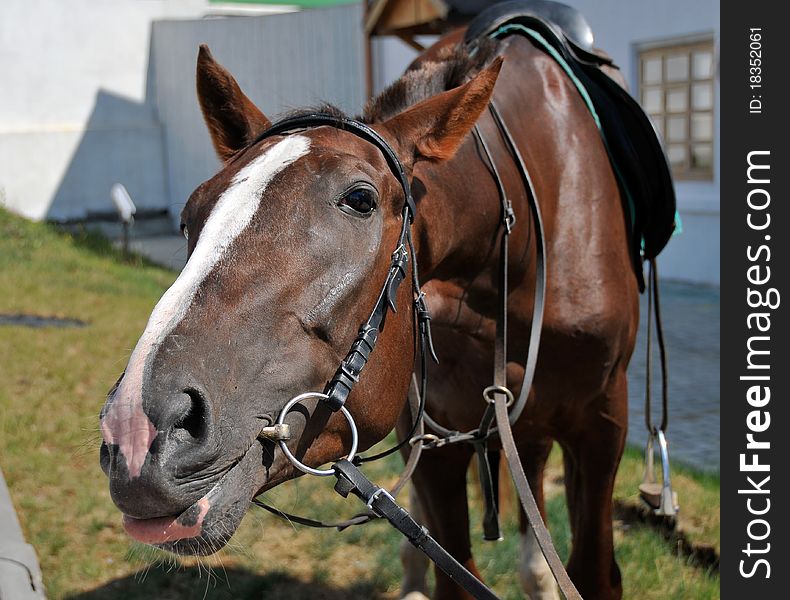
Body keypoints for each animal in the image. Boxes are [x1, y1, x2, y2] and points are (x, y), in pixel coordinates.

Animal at [100, 16, 644, 596]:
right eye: (190, 215)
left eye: (360, 200)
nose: (136, 430)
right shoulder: (431, 441)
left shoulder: (603, 427)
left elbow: (596, 573)